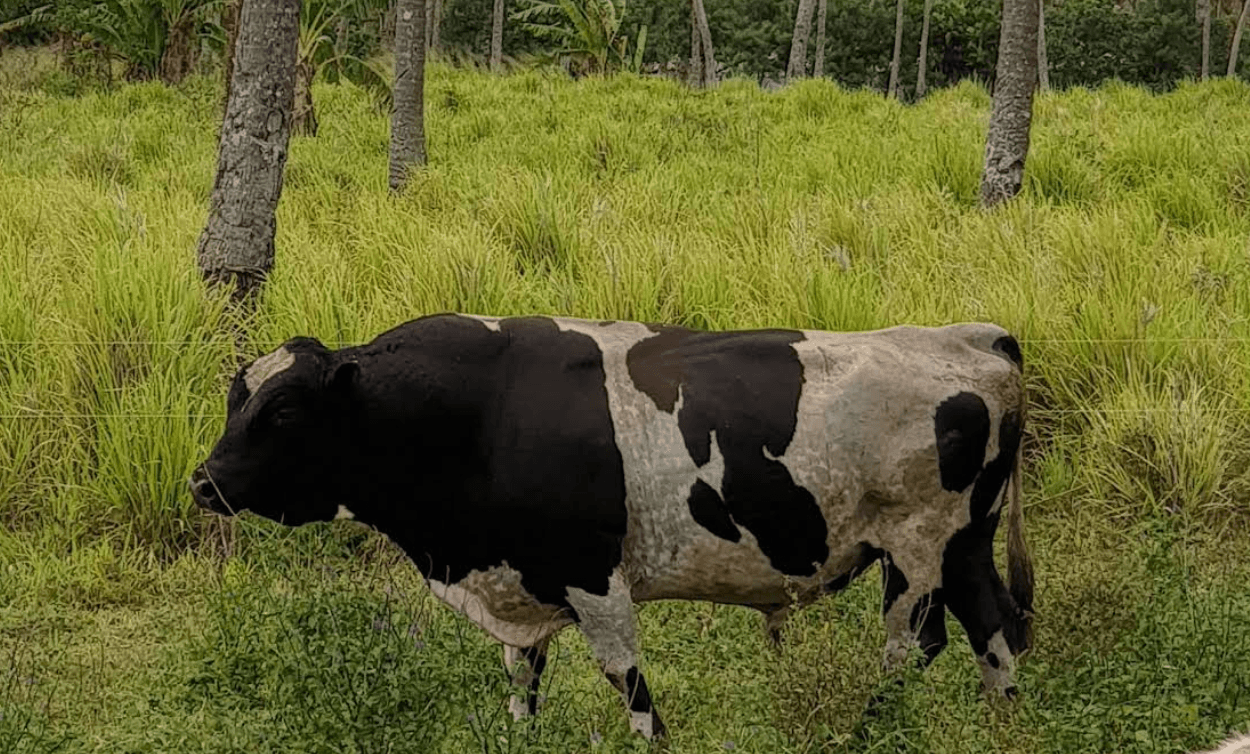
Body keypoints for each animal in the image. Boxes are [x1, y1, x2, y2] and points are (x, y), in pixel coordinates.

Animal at [190, 313, 1034, 740]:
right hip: (965, 542)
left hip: (918, 546)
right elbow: (522, 688)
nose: (203, 482)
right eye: (237, 398)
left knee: (913, 647)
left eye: (284, 411)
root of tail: (969, 335)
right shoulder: (518, 585)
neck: (480, 413)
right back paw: (1006, 726)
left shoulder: (593, 579)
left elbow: (629, 689)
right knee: (991, 627)